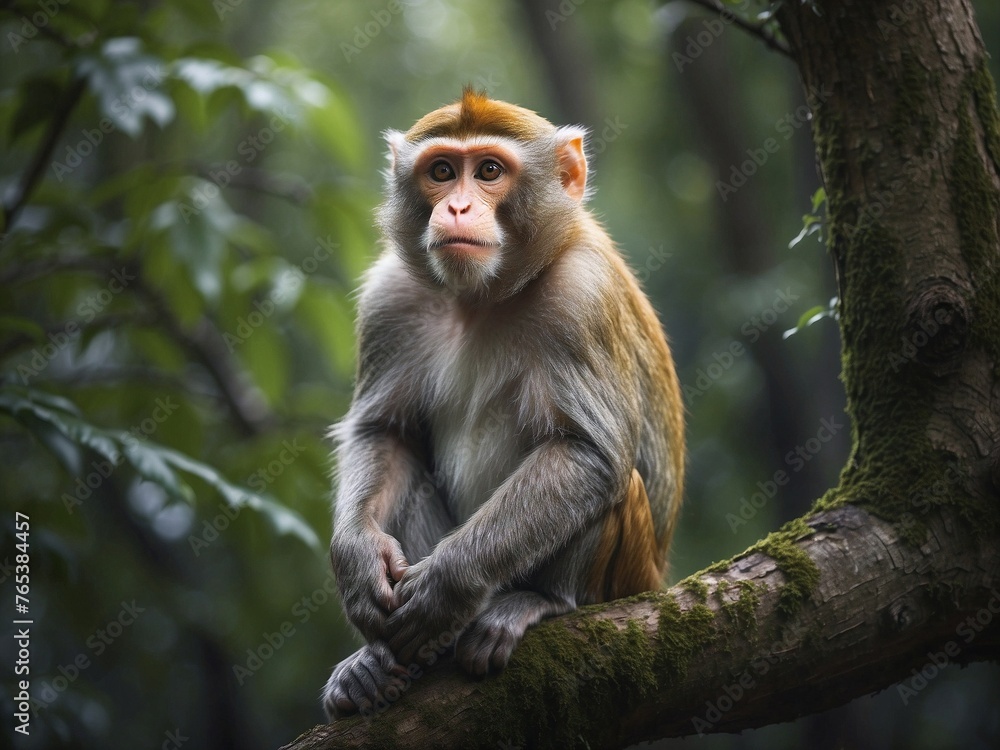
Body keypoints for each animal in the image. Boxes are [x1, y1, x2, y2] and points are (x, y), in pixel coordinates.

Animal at [321, 89, 684, 719]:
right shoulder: (390, 297)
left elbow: (587, 453)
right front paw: (358, 562)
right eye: (443, 172)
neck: (483, 298)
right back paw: (383, 664)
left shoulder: (582, 297)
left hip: (629, 578)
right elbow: (385, 432)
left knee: (612, 484)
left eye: (489, 171)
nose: (458, 208)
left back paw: (537, 601)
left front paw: (446, 585)